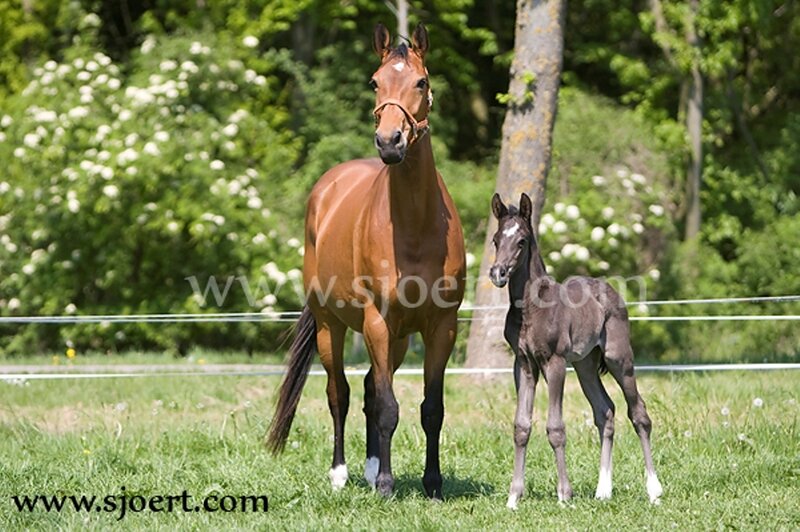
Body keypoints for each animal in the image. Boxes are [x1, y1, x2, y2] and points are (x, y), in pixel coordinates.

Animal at [266, 23, 466, 500]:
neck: (415, 226)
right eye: (375, 82)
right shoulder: (377, 321)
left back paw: (372, 468)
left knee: (371, 388)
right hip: (331, 326)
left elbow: (430, 407)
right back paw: (341, 473)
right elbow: (389, 406)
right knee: (339, 392)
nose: (390, 142)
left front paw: (432, 484)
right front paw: (389, 487)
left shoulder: (440, 327)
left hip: (396, 339)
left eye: (421, 82)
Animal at [488, 193, 662, 508]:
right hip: (585, 366)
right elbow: (521, 426)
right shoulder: (524, 365)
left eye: (521, 241)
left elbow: (556, 428)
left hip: (619, 359)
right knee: (605, 411)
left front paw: (564, 495)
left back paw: (654, 490)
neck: (531, 309)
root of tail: (610, 290)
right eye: (496, 240)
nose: (498, 273)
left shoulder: (555, 362)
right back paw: (603, 490)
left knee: (639, 414)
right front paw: (513, 497)